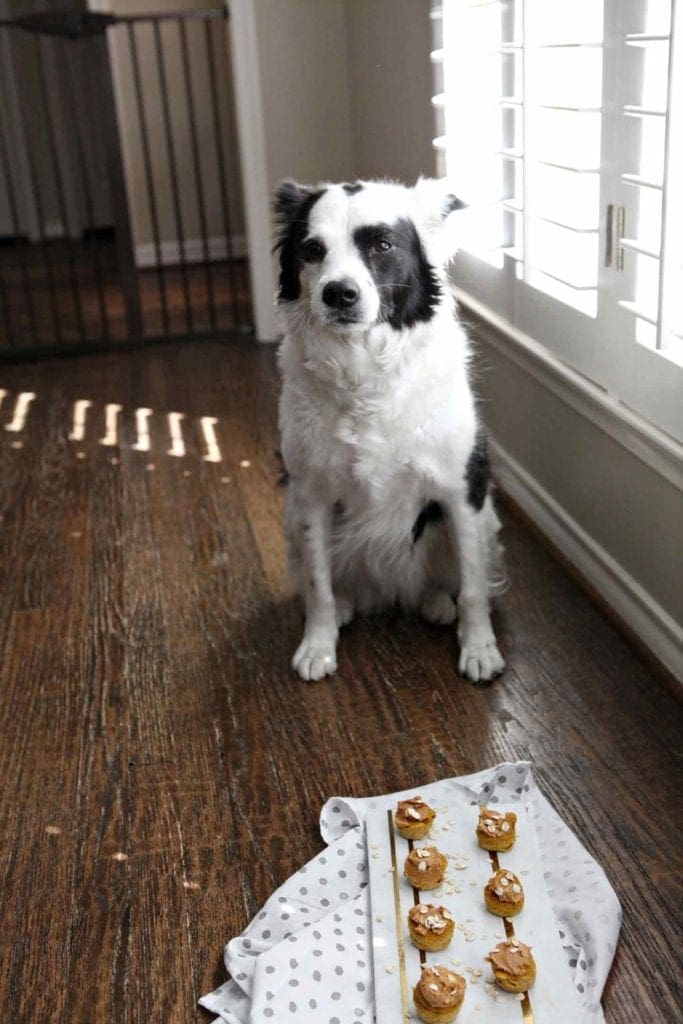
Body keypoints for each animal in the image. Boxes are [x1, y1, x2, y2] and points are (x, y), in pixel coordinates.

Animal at [274, 180, 505, 684]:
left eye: (382, 245)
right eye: (312, 250)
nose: (338, 294)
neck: (363, 370)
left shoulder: (462, 490)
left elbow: (474, 584)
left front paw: (479, 648)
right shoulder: (310, 495)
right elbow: (318, 585)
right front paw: (318, 646)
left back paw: (437, 603)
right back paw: (349, 603)